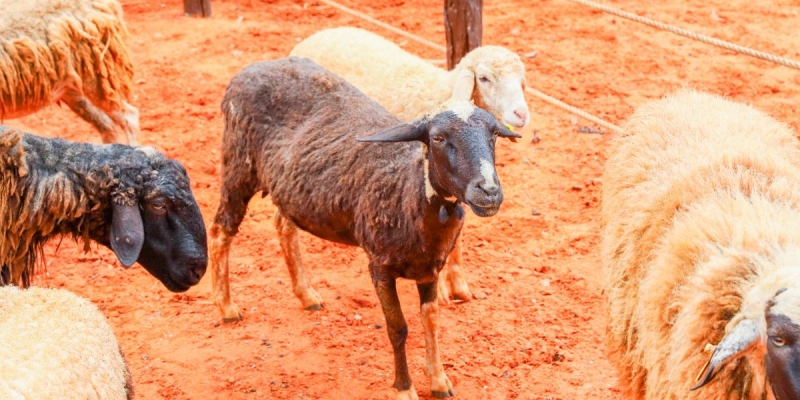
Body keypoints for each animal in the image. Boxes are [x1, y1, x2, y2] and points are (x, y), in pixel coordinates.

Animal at [208, 56, 520, 399]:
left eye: (494, 135)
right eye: (437, 138)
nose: (489, 191)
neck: (408, 189)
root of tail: (256, 66)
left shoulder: (429, 268)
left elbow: (431, 320)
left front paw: (439, 380)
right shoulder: (380, 267)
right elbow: (398, 328)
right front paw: (404, 388)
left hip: (289, 189)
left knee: (283, 225)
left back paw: (306, 294)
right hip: (238, 164)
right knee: (221, 230)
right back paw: (226, 306)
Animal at [291, 26, 530, 303]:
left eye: (521, 78)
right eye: (483, 78)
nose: (521, 113)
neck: (442, 93)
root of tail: (316, 35)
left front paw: (459, 284)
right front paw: (443, 290)